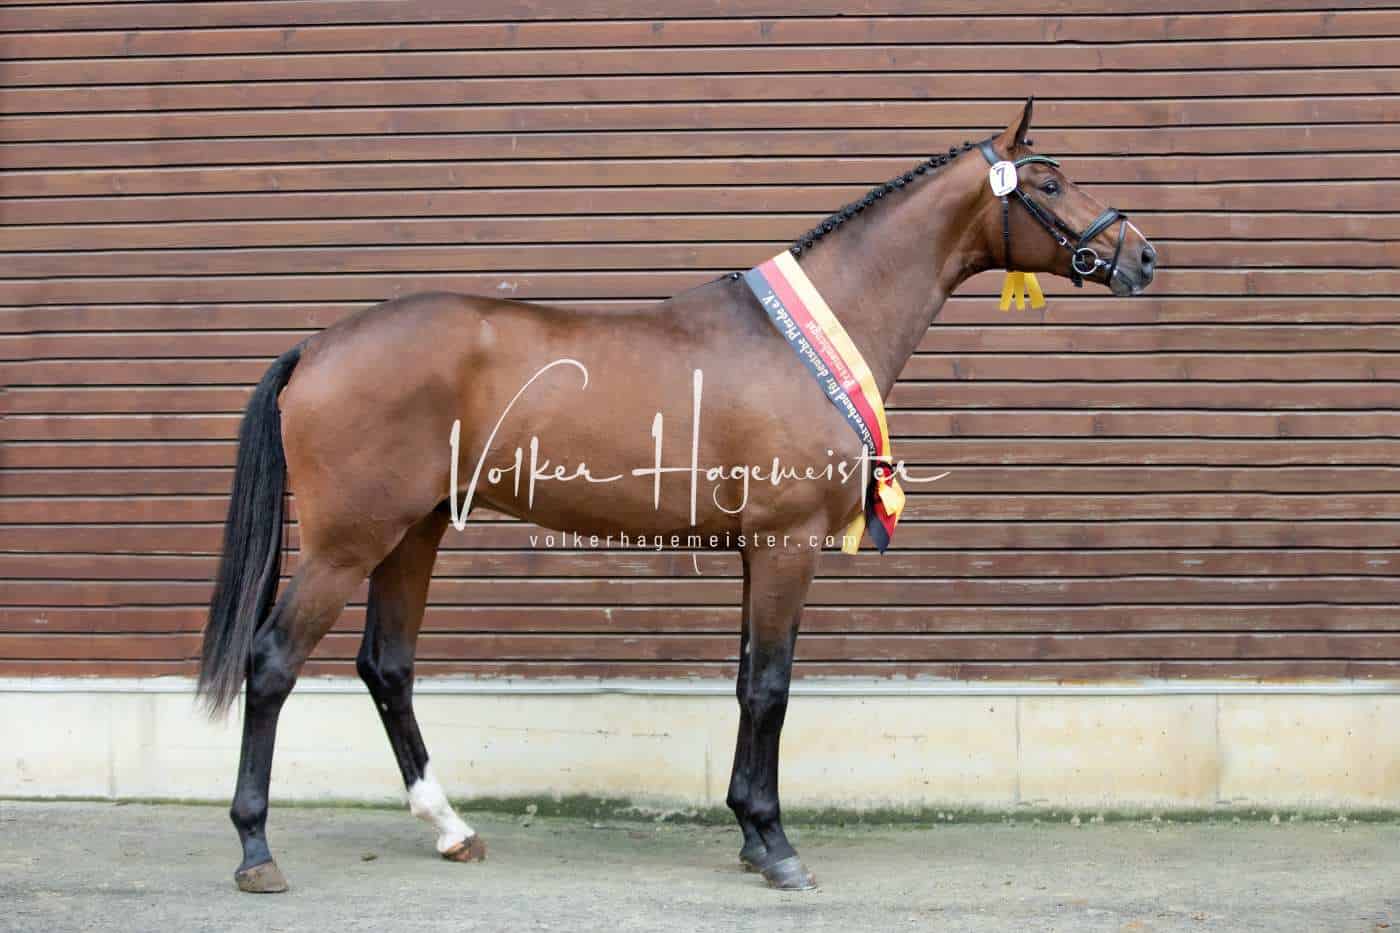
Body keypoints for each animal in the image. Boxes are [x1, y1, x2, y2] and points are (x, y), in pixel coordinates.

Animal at [197, 100, 1156, 894]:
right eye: (1051, 182)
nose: (1141, 254)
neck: (802, 340)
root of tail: (318, 347)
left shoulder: (759, 552)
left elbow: (746, 683)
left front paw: (749, 829)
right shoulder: (786, 545)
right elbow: (770, 686)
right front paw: (776, 846)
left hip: (413, 532)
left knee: (386, 666)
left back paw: (450, 828)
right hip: (348, 542)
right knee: (272, 661)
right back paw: (255, 850)